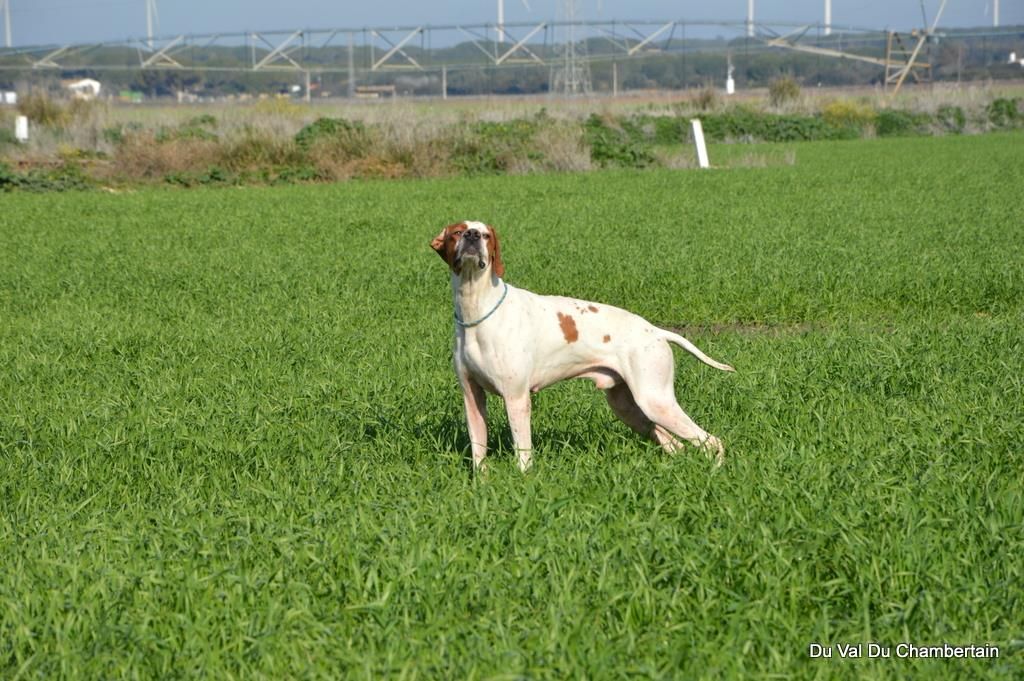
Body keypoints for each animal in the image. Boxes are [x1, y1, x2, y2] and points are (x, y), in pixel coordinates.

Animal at [432, 220, 737, 471]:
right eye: (458, 232)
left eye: (485, 234)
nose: (472, 236)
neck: (476, 309)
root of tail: (656, 331)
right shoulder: (472, 397)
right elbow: (478, 453)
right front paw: (481, 486)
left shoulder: (516, 398)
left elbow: (523, 452)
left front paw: (523, 481)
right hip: (628, 407)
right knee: (676, 444)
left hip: (655, 401)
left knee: (712, 440)